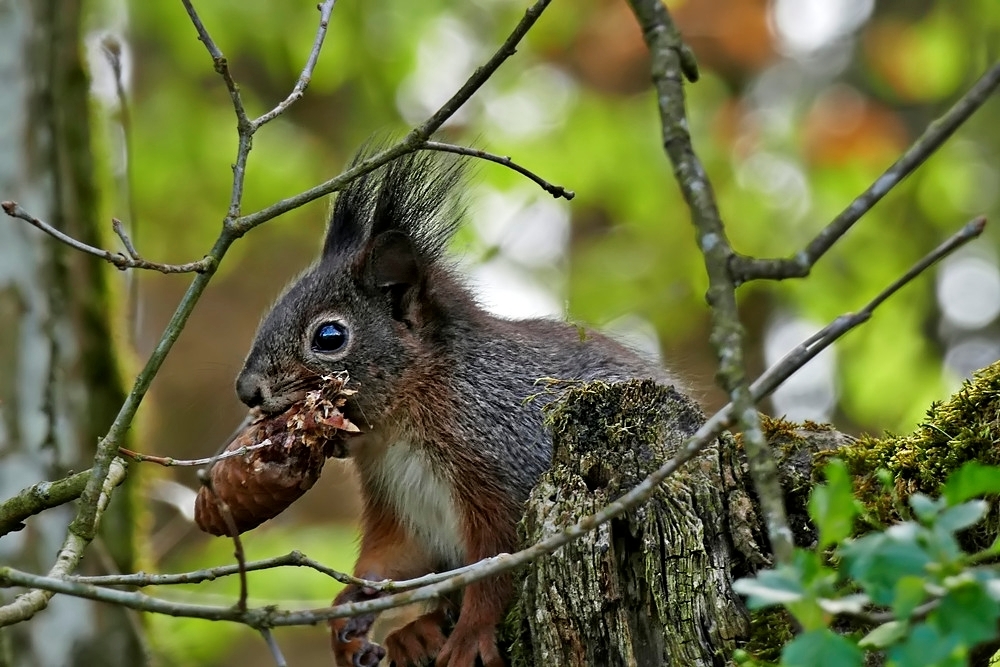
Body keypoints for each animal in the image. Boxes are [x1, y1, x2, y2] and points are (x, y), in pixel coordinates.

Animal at [234, 147, 672, 667]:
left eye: (329, 336)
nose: (247, 390)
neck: (399, 428)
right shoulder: (402, 507)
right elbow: (388, 561)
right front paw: (347, 615)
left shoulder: (506, 468)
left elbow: (496, 569)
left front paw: (470, 637)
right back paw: (415, 634)